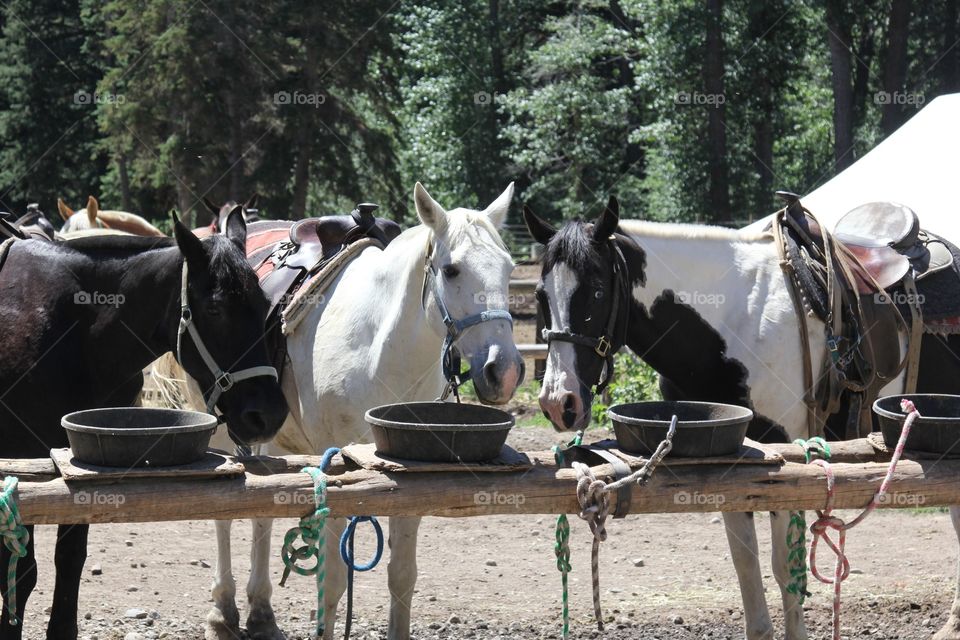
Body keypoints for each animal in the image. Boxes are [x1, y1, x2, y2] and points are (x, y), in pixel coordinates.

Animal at [0, 207, 287, 639]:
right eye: (215, 309)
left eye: (265, 303)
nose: (268, 414)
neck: (74, 329)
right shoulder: (21, 464)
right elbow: (21, 572)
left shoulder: (79, 464)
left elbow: (70, 558)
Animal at [159, 182, 524, 640]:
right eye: (452, 270)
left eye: (509, 269)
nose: (504, 371)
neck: (381, 348)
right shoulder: (333, 468)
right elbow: (331, 579)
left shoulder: (416, 470)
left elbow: (402, 576)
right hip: (224, 427)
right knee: (224, 518)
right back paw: (223, 612)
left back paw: (261, 612)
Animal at [523, 197, 960, 640]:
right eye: (541, 295)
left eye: (597, 291)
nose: (559, 401)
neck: (736, 322)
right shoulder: (727, 463)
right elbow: (746, 564)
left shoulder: (791, 461)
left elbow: (786, 569)